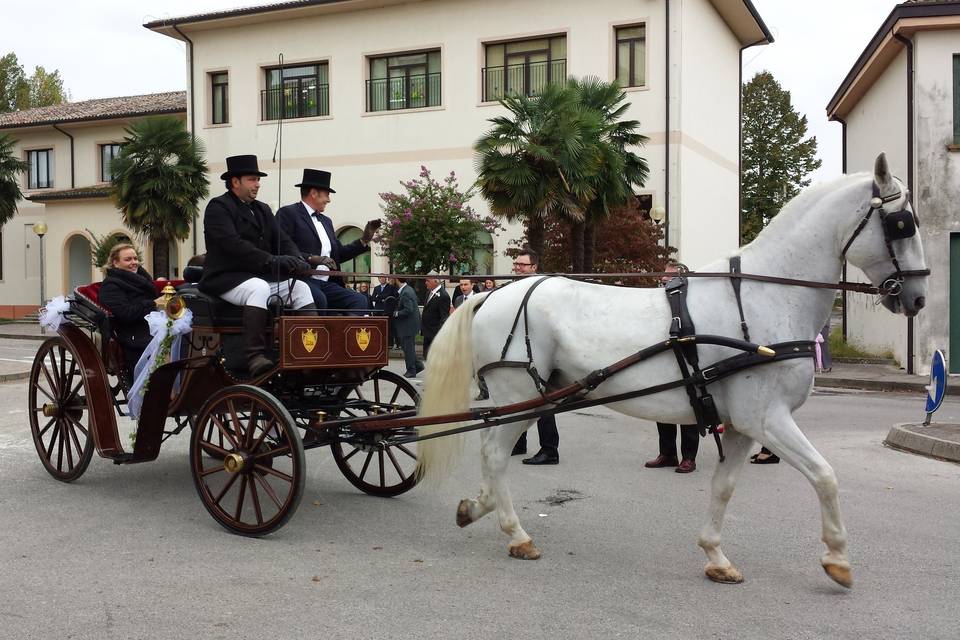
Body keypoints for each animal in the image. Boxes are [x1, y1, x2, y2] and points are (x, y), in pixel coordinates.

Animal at [416, 154, 928, 584]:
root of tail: (493, 294)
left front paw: (716, 555)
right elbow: (825, 475)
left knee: (493, 451)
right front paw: (838, 559)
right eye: (902, 223)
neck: (764, 296)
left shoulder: (741, 425)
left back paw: (478, 508)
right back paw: (515, 532)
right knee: (494, 453)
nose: (918, 298)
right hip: (517, 394)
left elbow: (724, 487)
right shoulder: (768, 419)